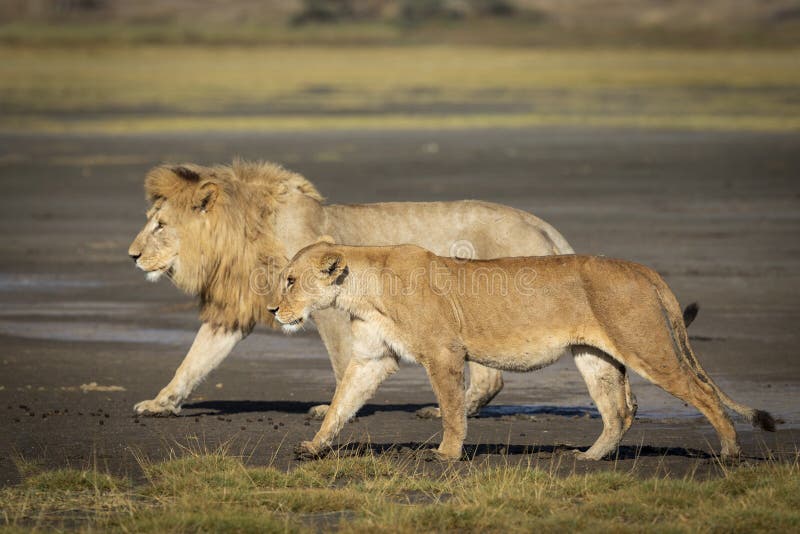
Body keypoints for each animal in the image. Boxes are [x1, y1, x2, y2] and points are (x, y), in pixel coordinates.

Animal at [130, 159, 580, 418]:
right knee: (490, 381)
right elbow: (194, 360)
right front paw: (161, 403)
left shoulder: (328, 307)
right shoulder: (236, 309)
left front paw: (335, 407)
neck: (242, 237)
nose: (132, 255)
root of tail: (538, 222)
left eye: (160, 225)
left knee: (490, 379)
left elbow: (341, 360)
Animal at [270, 241, 776, 462]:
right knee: (620, 411)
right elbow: (342, 403)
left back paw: (730, 452)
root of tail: (640, 268)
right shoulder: (372, 360)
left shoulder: (443, 352)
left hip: (647, 348)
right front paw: (314, 446)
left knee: (703, 394)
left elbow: (452, 408)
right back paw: (589, 458)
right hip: (595, 357)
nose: (274, 309)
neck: (360, 289)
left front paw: (447, 454)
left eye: (290, 280)